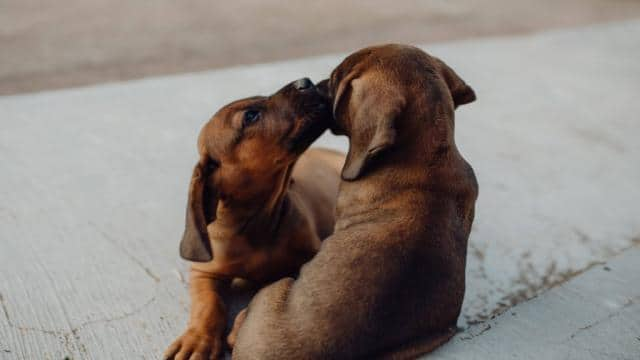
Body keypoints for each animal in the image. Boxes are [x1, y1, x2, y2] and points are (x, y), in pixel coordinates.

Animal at [165, 77, 344, 358]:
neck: (254, 224)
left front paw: (242, 323)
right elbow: (209, 305)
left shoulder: (308, 260)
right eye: (251, 115)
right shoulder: (203, 273)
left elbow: (270, 283)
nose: (306, 82)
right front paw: (198, 338)